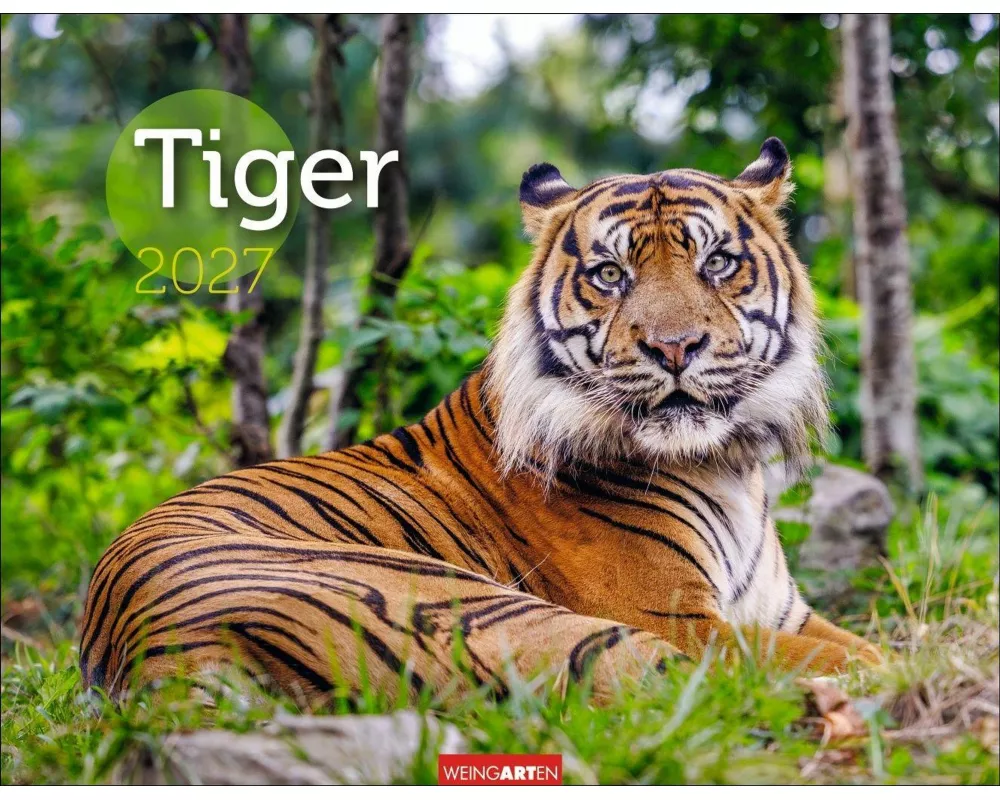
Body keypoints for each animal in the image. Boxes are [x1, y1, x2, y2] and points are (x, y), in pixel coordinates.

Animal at [79, 138, 882, 707]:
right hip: (486, 610)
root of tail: (152, 654)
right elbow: (864, 653)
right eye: (611, 275)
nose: (675, 346)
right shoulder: (680, 617)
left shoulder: (783, 612)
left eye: (716, 263)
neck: (725, 464)